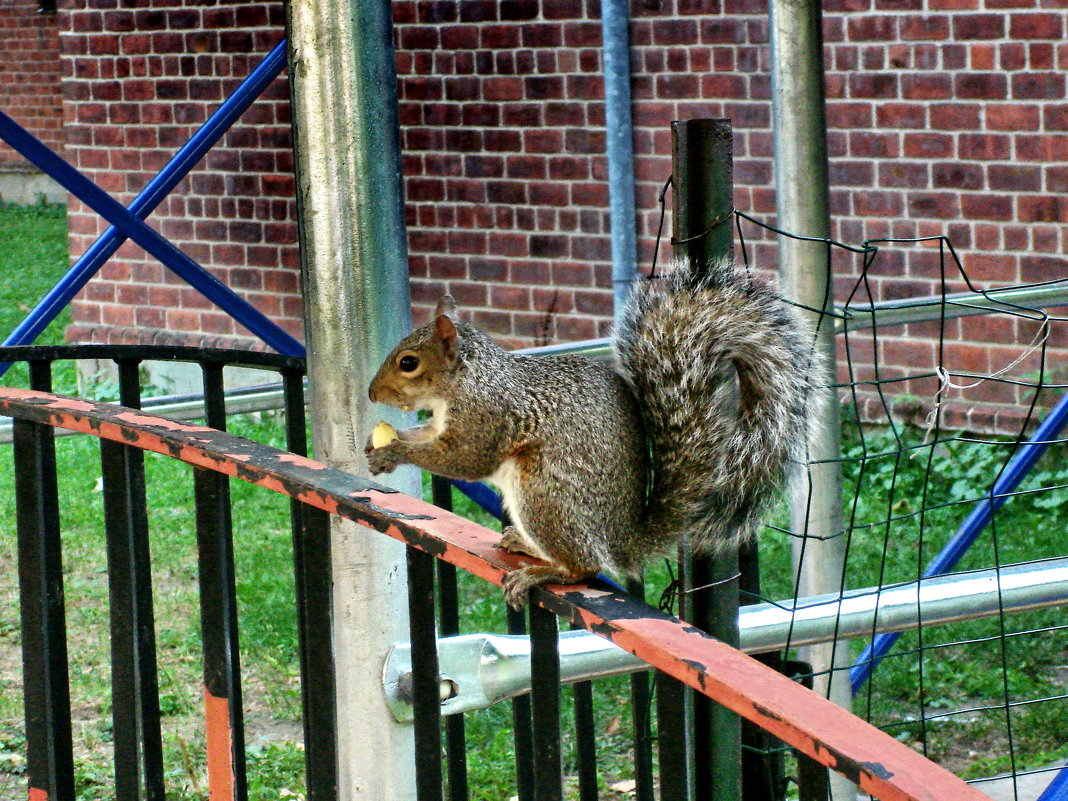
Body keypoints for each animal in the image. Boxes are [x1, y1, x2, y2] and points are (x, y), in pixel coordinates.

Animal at [367, 257, 815, 606]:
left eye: (408, 362)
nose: (372, 393)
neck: (467, 381)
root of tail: (622, 540)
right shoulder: (441, 421)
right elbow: (425, 436)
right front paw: (385, 447)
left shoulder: (487, 417)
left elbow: (464, 460)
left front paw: (394, 454)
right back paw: (524, 545)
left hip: (544, 493)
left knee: (586, 565)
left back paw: (545, 572)